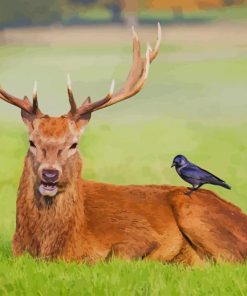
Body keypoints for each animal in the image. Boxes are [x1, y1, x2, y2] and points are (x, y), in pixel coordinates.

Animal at [0, 24, 247, 266]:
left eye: (74, 144)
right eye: (32, 141)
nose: (50, 173)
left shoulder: (140, 234)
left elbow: (117, 256)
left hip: (192, 209)